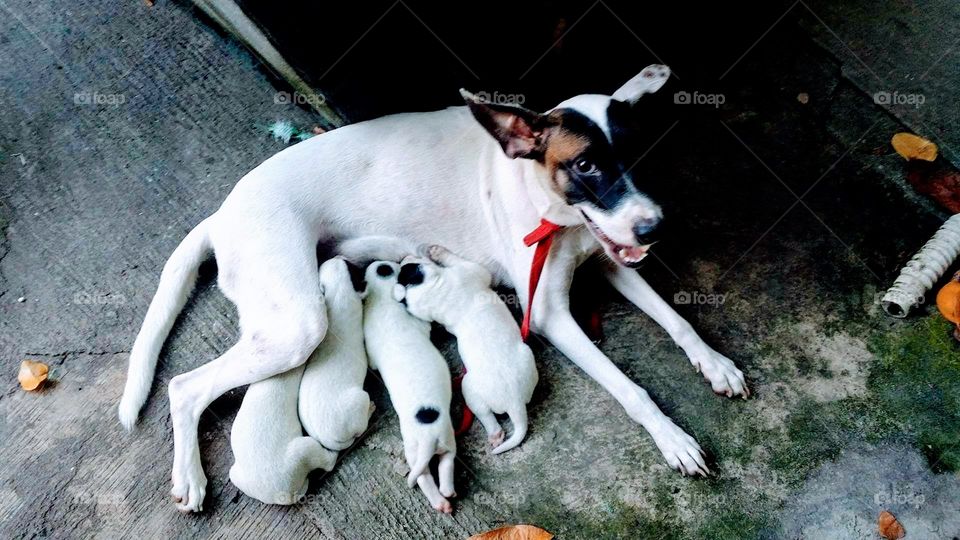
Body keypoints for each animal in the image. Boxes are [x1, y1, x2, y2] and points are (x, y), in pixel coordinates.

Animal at [300, 255, 376, 450]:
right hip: (360, 399)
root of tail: (329, 440)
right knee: (361, 426)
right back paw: (370, 409)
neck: (338, 295)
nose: (338, 255)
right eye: (350, 267)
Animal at [360, 262, 458, 516]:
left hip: (435, 445)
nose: (400, 262)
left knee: (436, 470)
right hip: (433, 445)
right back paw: (443, 500)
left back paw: (445, 496)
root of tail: (428, 436)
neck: (381, 296)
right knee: (430, 474)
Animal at [392, 247, 536, 454]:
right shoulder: (471, 271)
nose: (402, 258)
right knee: (486, 415)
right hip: (473, 388)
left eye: (405, 270)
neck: (437, 292)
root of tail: (514, 402)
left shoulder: (469, 271)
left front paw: (437, 252)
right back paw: (495, 435)